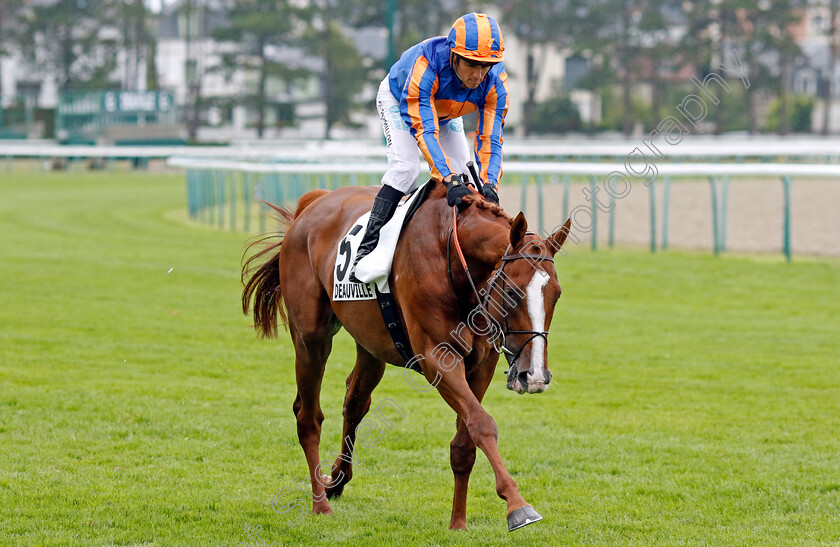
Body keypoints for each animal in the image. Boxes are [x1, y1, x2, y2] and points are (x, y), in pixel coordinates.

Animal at [241, 180, 572, 532]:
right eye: (511, 291)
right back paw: (320, 504)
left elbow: (466, 440)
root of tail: (314, 203)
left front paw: (458, 522)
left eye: (556, 294)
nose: (534, 375)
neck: (454, 261)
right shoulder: (436, 357)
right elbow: (482, 424)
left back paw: (336, 480)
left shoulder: (482, 364)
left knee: (355, 403)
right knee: (308, 416)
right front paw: (517, 505)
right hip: (311, 338)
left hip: (370, 346)